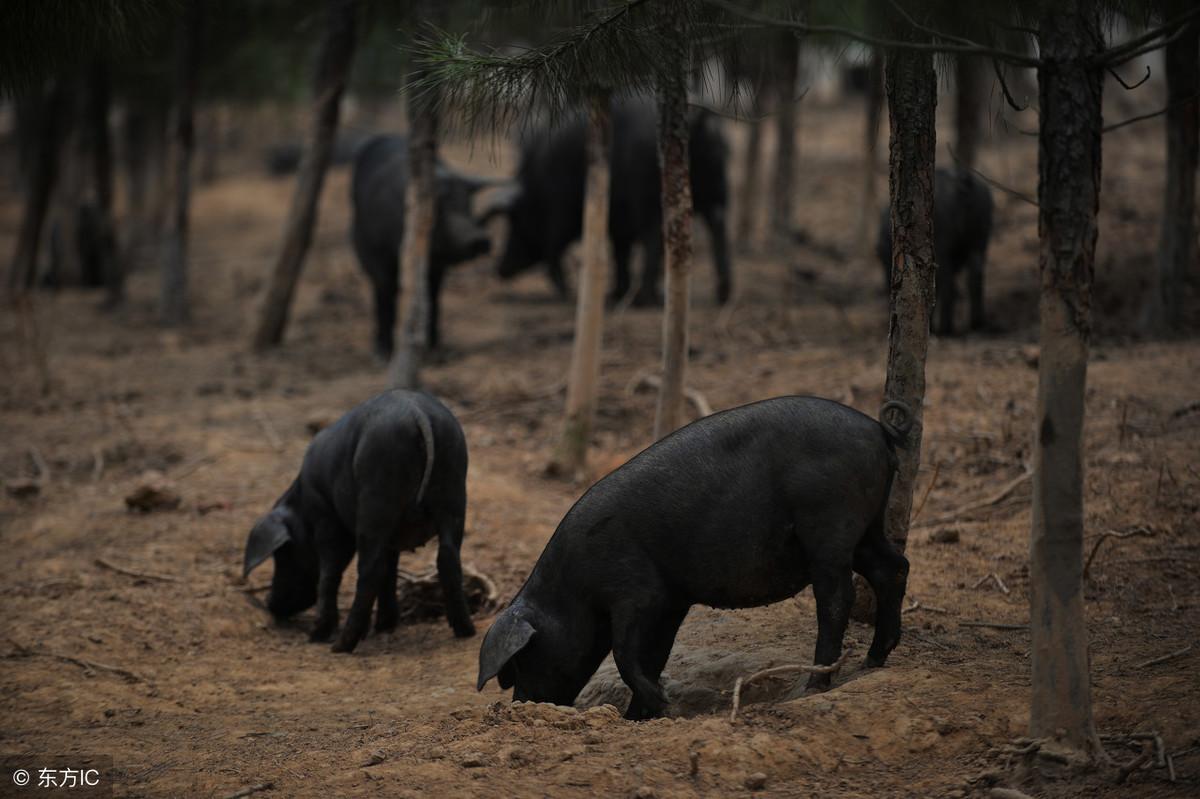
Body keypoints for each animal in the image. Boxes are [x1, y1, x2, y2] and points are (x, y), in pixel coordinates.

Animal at [242, 388, 472, 652]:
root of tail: (418, 413)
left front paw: (316, 636)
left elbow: (330, 573)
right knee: (447, 557)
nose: (270, 602)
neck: (302, 505)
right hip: (453, 489)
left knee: (370, 569)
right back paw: (465, 630)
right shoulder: (391, 539)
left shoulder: (326, 519)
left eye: (282, 554)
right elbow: (390, 570)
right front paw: (384, 626)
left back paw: (341, 646)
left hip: (376, 498)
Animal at [475, 395, 907, 719]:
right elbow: (653, 655)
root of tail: (877, 430)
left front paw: (661, 706)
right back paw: (873, 660)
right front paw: (641, 715)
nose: (519, 705)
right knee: (893, 568)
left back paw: (812, 686)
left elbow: (625, 653)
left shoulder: (636, 593)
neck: (573, 589)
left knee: (836, 598)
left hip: (829, 524)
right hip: (865, 527)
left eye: (522, 660)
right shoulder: (671, 602)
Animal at [873, 164, 993, 333]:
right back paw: (976, 323)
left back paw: (945, 329)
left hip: (944, 248)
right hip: (979, 242)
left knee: (946, 284)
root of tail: (962, 181)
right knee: (974, 278)